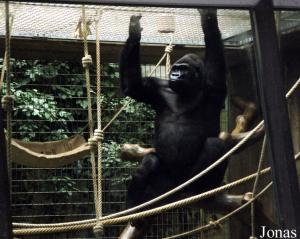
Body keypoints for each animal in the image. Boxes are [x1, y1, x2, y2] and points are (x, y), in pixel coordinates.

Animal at [119, 8, 230, 237]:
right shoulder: (157, 87)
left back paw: (198, 190)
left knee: (215, 145)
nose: (175, 74)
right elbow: (133, 87)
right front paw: (134, 31)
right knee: (149, 162)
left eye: (184, 69)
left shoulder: (215, 85)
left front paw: (208, 18)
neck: (187, 90)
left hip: (185, 182)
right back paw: (134, 209)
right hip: (161, 186)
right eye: (175, 69)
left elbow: (214, 47)